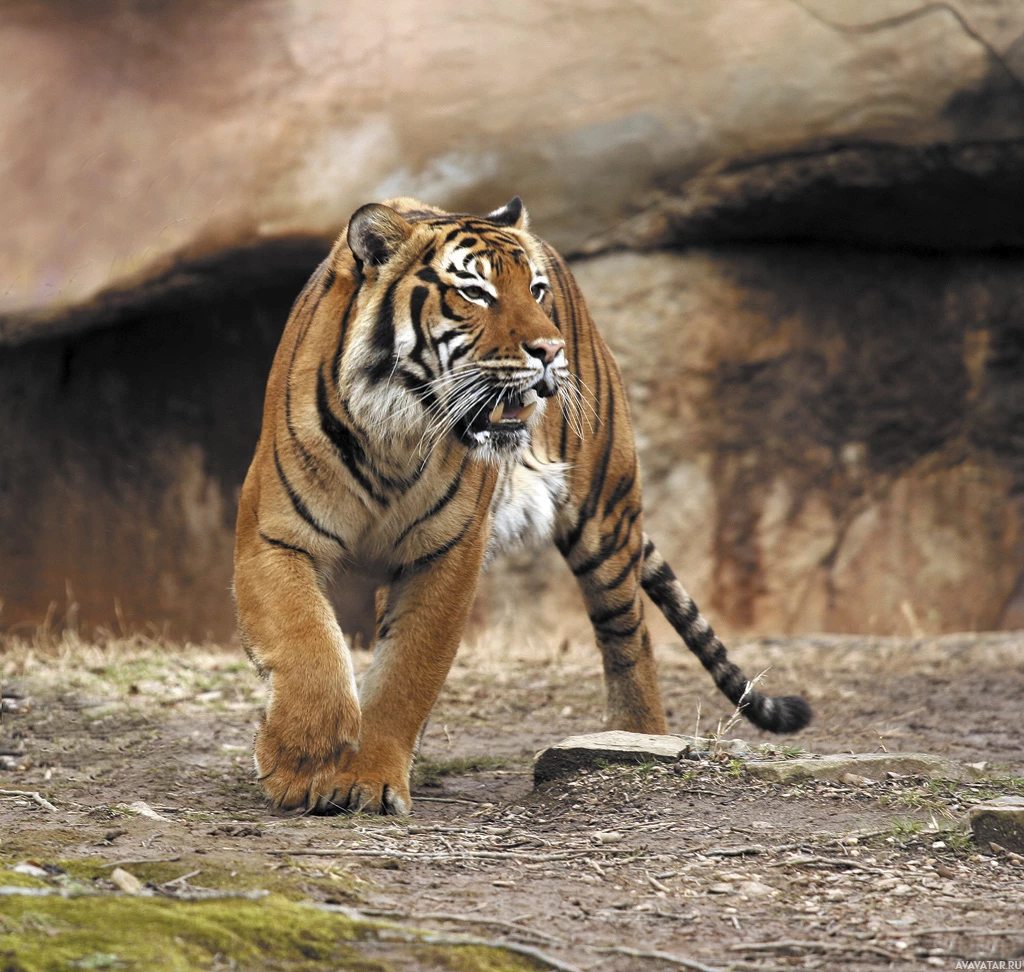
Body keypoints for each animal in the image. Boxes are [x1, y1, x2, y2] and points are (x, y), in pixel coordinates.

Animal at [230, 195, 806, 811]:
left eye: (534, 290)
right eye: (475, 292)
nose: (550, 350)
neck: (396, 436)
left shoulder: (448, 552)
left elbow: (408, 670)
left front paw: (369, 779)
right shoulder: (272, 535)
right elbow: (307, 639)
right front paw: (303, 761)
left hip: (606, 515)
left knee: (630, 638)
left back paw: (638, 738)